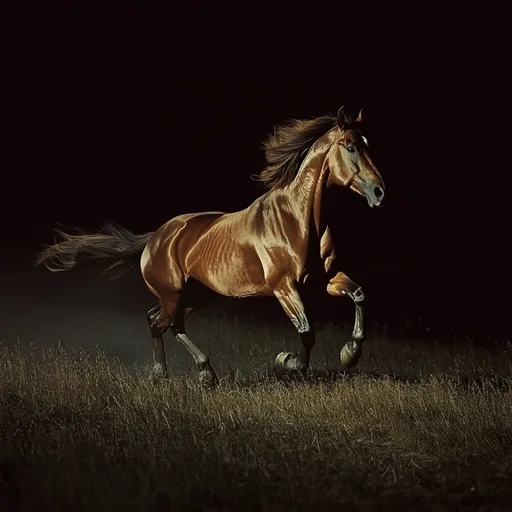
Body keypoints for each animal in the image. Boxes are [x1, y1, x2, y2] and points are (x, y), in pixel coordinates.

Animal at [35, 108, 384, 388]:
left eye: (367, 145)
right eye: (351, 147)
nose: (379, 191)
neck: (297, 220)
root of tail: (154, 238)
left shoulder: (325, 279)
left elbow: (358, 295)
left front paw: (349, 354)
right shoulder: (283, 286)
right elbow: (307, 331)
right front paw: (288, 362)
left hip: (196, 295)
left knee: (156, 320)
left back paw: (160, 374)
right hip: (175, 293)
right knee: (172, 325)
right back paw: (205, 374)